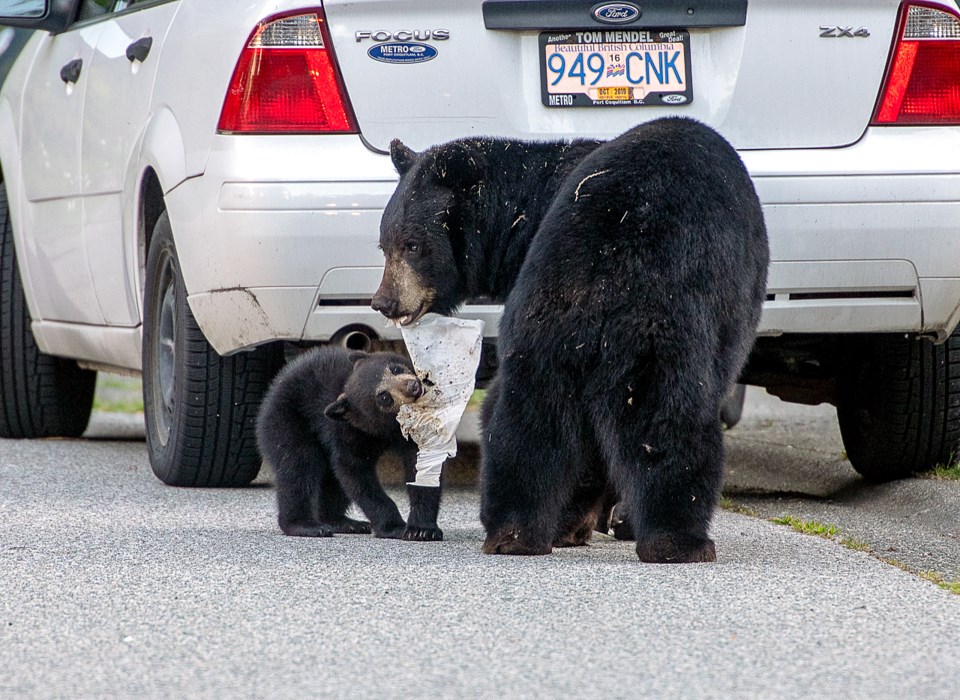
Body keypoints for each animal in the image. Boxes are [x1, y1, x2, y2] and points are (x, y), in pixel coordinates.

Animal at [258, 348, 446, 540]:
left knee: (330, 480)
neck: (388, 429)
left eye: (395, 369)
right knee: (298, 465)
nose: (413, 386)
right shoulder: (348, 432)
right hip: (286, 419)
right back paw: (305, 525)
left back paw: (343, 522)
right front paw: (394, 526)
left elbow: (422, 466)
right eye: (384, 397)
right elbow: (355, 471)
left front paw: (422, 528)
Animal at [372, 116, 768, 564]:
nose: (384, 301)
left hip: (544, 327)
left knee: (525, 421)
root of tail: (600, 275)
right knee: (664, 421)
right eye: (386, 244)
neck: (519, 215)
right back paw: (677, 539)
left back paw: (518, 532)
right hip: (651, 334)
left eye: (412, 245)